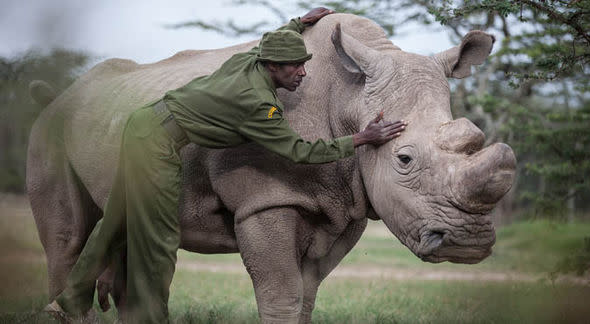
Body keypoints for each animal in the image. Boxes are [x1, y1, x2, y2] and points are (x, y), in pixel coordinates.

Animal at [27, 13, 520, 324]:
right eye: (404, 159)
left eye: (476, 137)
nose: (469, 243)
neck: (350, 96)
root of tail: (59, 95)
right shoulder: (266, 200)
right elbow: (281, 291)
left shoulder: (344, 206)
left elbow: (306, 294)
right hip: (52, 129)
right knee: (69, 236)